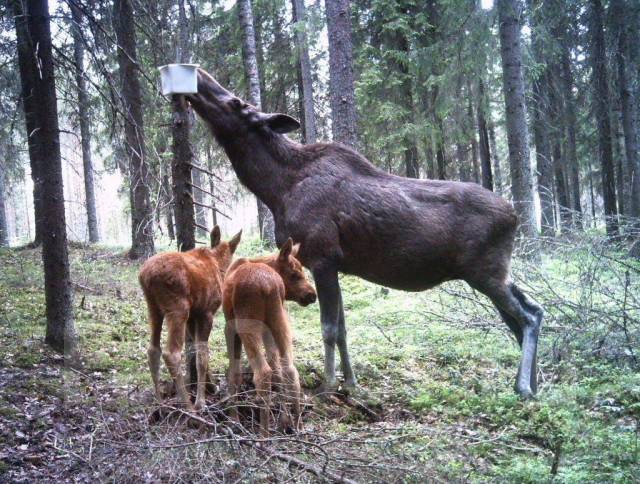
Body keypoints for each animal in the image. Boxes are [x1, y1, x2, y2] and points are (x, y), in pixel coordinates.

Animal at [139, 226, 241, 408]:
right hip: (178, 308)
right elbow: (202, 355)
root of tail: (145, 276)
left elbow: (194, 350)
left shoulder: (194, 316)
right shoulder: (206, 313)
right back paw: (187, 404)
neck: (219, 265)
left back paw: (159, 401)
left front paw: (212, 386)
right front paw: (201, 401)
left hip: (153, 308)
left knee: (153, 349)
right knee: (171, 353)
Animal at [186, 69, 544, 400]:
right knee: (533, 310)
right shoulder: (334, 263)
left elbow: (329, 328)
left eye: (236, 102)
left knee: (526, 316)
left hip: (486, 272)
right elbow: (344, 329)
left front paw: (328, 386)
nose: (198, 76)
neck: (276, 190)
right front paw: (351, 382)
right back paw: (535, 384)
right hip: (495, 272)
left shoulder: (322, 257)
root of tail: (515, 216)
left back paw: (524, 387)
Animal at [222, 238, 318, 434]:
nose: (312, 295)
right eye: (295, 274)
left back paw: (263, 435)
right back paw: (299, 428)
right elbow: (278, 371)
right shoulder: (268, 330)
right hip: (279, 321)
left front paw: (233, 421)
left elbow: (234, 372)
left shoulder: (230, 327)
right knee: (290, 369)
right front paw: (284, 420)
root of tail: (268, 286)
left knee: (263, 372)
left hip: (247, 325)